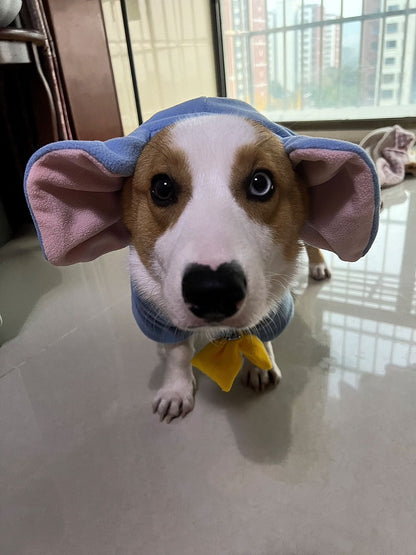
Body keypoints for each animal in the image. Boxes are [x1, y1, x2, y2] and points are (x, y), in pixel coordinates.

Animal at [23, 97, 380, 424]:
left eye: (261, 183)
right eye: (162, 187)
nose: (213, 290)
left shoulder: (273, 300)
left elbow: (261, 333)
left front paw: (260, 365)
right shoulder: (155, 310)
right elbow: (178, 351)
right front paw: (176, 390)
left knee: (312, 244)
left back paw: (319, 266)